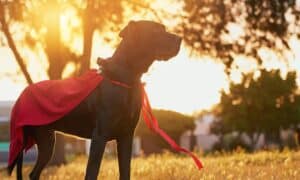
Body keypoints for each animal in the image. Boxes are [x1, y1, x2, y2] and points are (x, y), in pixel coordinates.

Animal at [8, 20, 182, 179]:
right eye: (155, 30)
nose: (179, 39)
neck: (125, 78)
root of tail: (22, 95)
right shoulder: (100, 136)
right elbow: (92, 171)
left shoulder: (126, 135)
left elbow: (125, 171)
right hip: (43, 140)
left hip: (47, 141)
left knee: (34, 173)